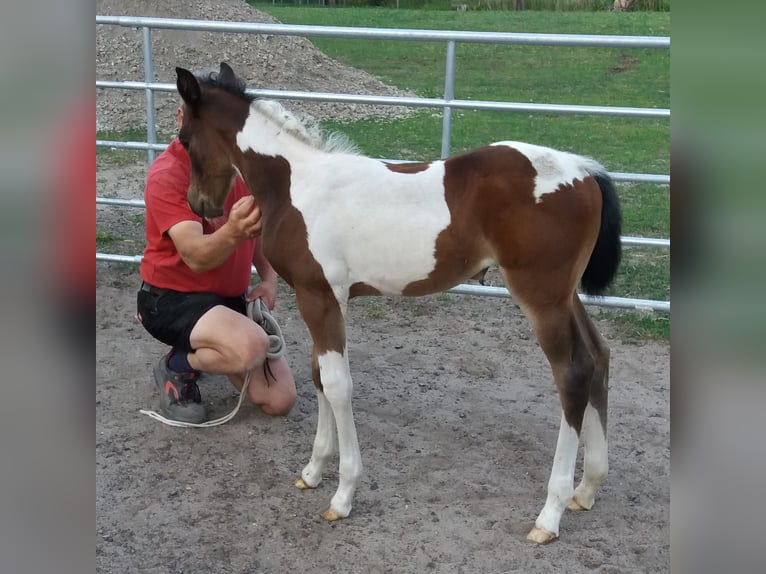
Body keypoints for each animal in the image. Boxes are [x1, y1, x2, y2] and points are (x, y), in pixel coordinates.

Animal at [175, 62, 621, 544]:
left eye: (185, 140)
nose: (199, 204)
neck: (295, 184)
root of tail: (584, 171)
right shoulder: (327, 298)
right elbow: (318, 375)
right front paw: (313, 471)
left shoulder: (318, 296)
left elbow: (337, 385)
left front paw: (343, 494)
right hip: (565, 295)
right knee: (598, 357)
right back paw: (587, 488)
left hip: (541, 297)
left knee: (572, 374)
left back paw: (550, 514)